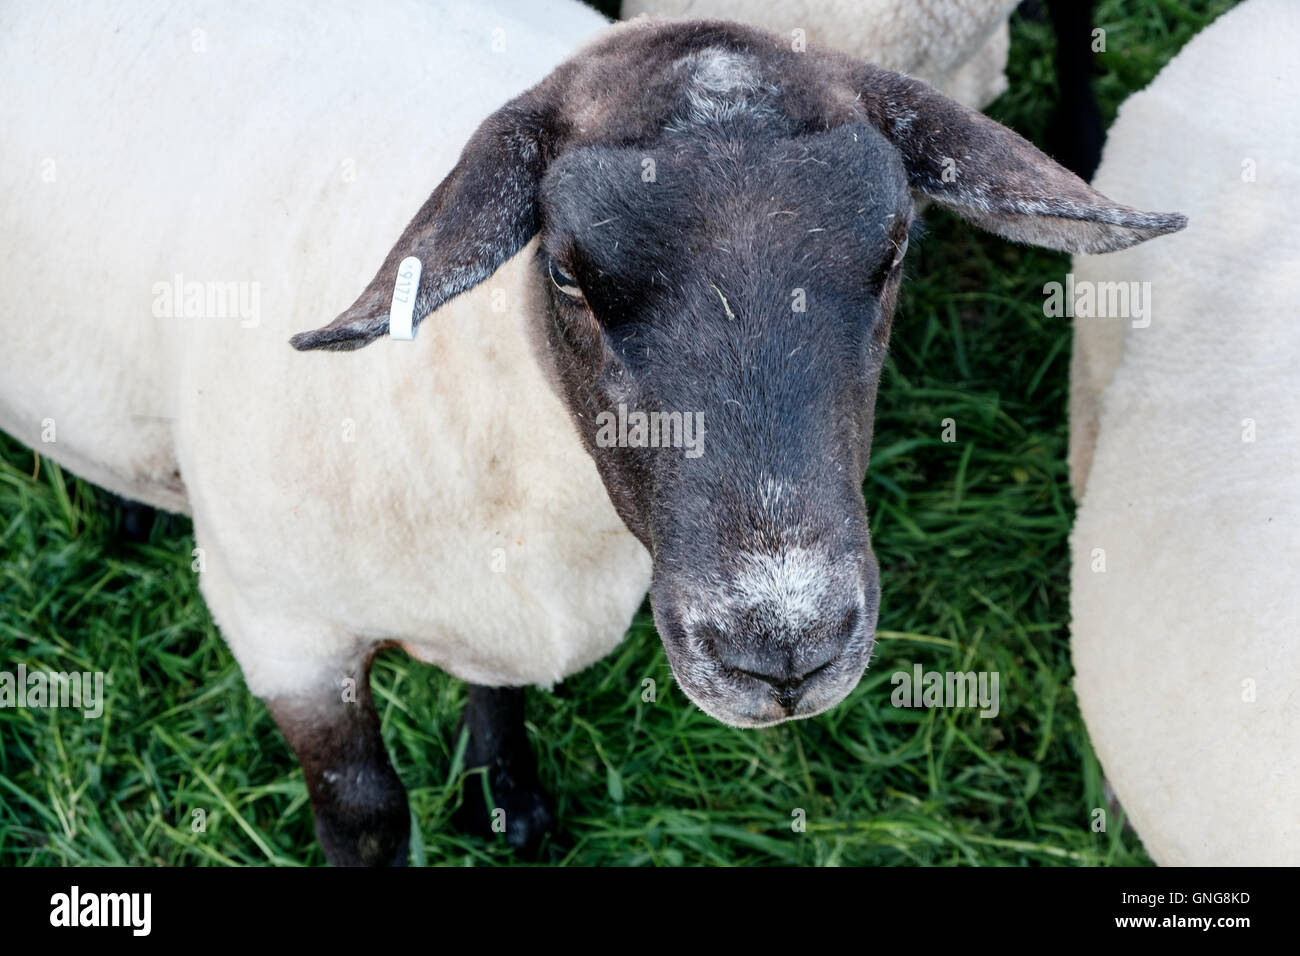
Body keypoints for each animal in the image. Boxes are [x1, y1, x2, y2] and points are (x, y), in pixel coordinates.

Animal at [0, 0, 1185, 868]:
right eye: (567, 271)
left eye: (893, 251)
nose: (782, 648)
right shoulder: (284, 631)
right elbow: (367, 816)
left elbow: (498, 690)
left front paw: (505, 794)